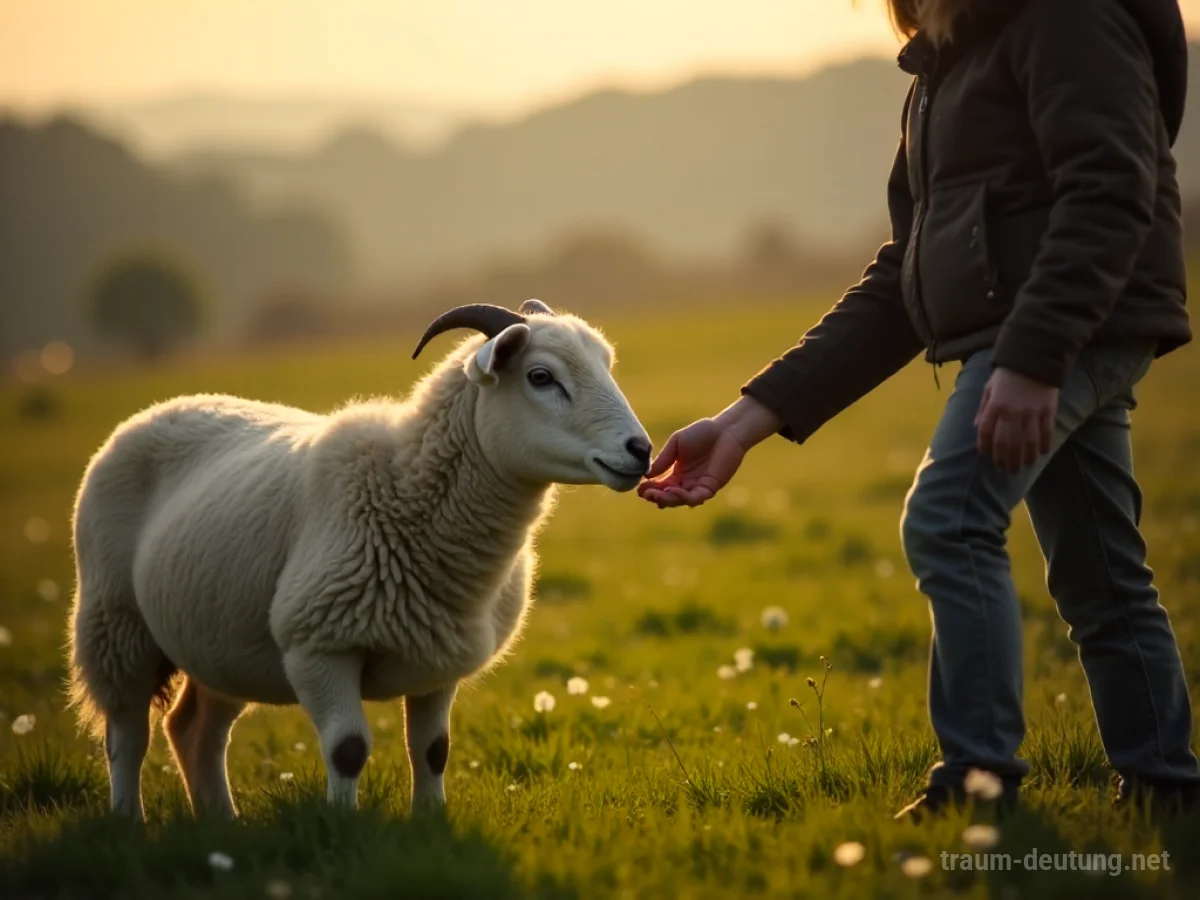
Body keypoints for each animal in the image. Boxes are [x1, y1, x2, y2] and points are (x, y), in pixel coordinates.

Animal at [65, 299, 652, 820]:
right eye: (540, 376)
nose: (641, 451)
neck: (405, 488)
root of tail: (159, 409)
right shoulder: (319, 646)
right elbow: (348, 749)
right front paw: (343, 826)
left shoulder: (439, 659)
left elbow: (434, 751)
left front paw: (430, 822)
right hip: (116, 626)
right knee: (126, 738)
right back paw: (129, 823)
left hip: (219, 641)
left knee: (194, 732)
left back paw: (221, 823)